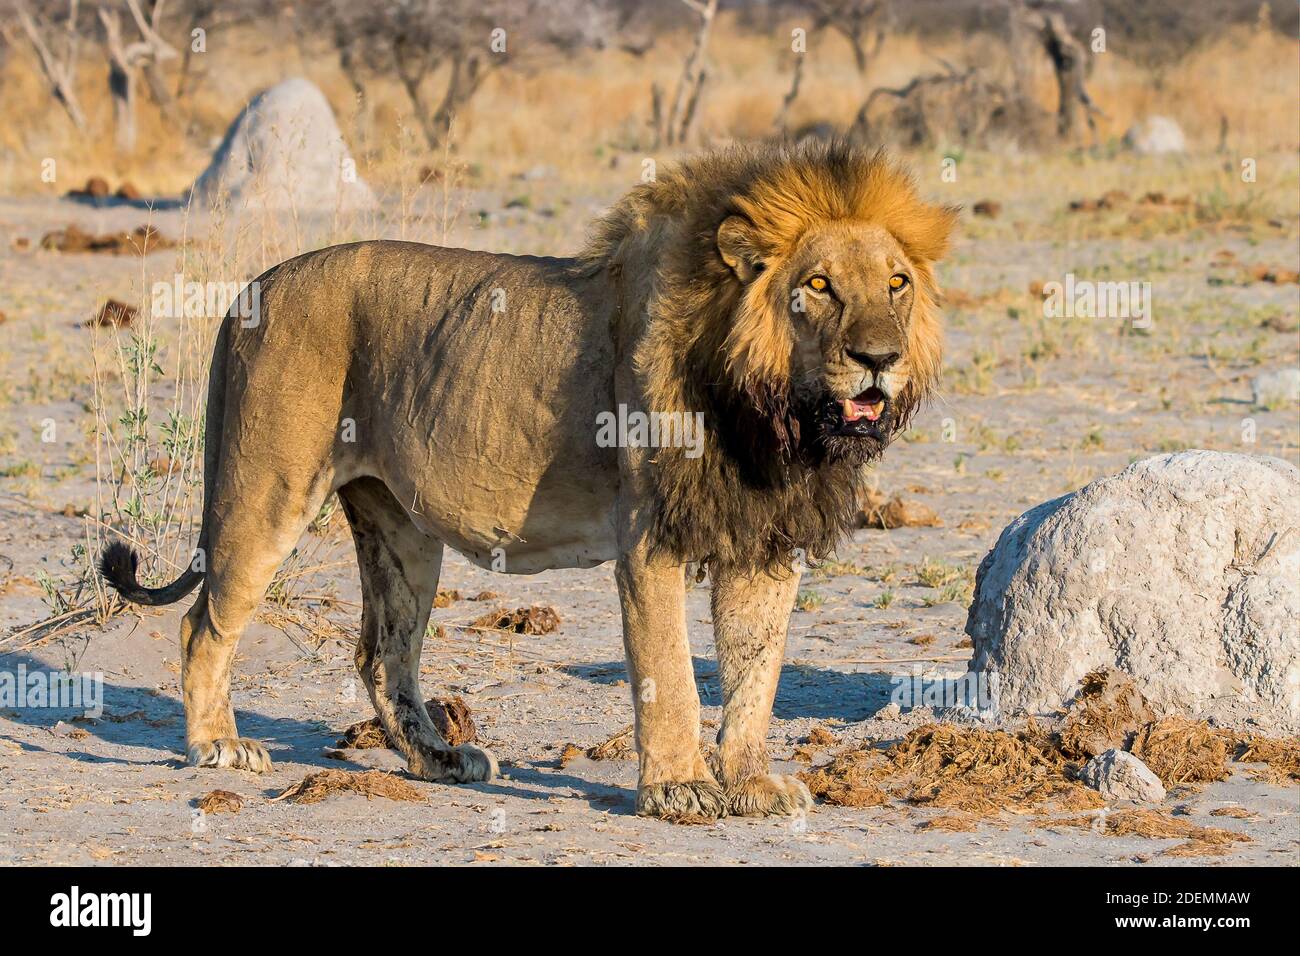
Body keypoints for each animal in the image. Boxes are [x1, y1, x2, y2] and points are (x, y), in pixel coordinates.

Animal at [100, 139, 956, 820]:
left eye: (897, 283)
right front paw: (679, 788)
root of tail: (252, 289)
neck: (776, 416)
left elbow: (756, 676)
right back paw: (220, 746)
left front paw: (750, 783)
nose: (880, 358)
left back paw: (442, 758)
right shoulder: (651, 539)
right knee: (203, 624)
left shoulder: (764, 539)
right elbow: (672, 674)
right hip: (267, 490)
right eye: (818, 285)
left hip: (401, 527)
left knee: (381, 653)